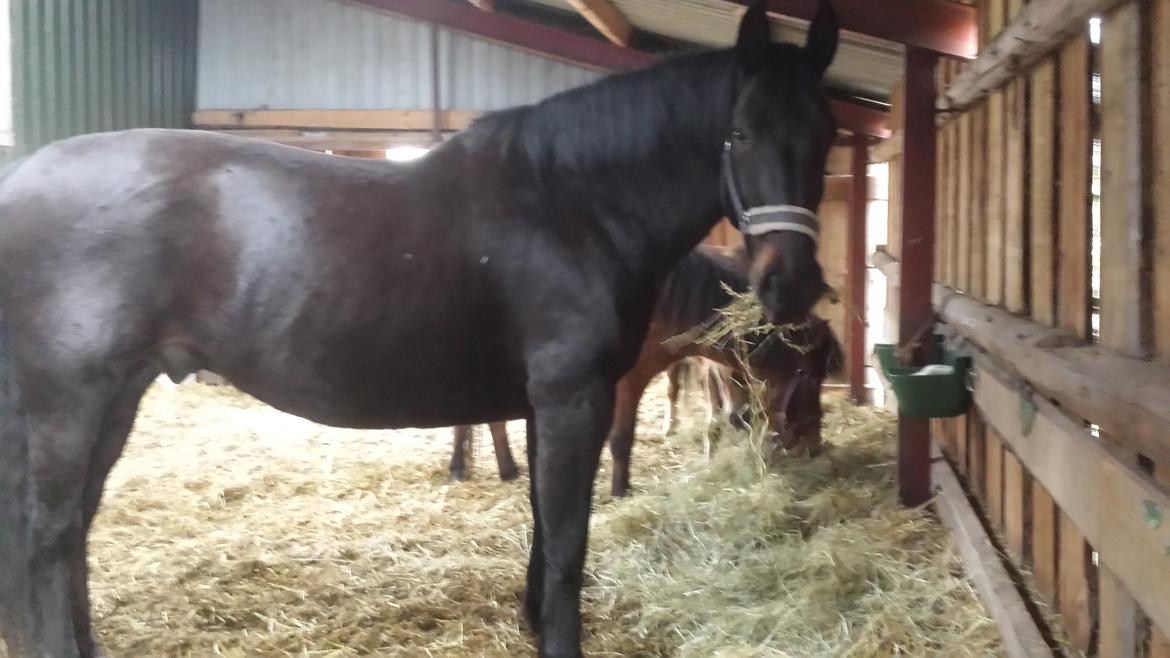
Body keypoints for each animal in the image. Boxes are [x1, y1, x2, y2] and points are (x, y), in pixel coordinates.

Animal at [446, 245, 842, 491]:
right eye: (808, 374)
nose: (814, 443)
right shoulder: (626, 383)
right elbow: (621, 439)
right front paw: (620, 490)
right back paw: (467, 467)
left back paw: (505, 467)